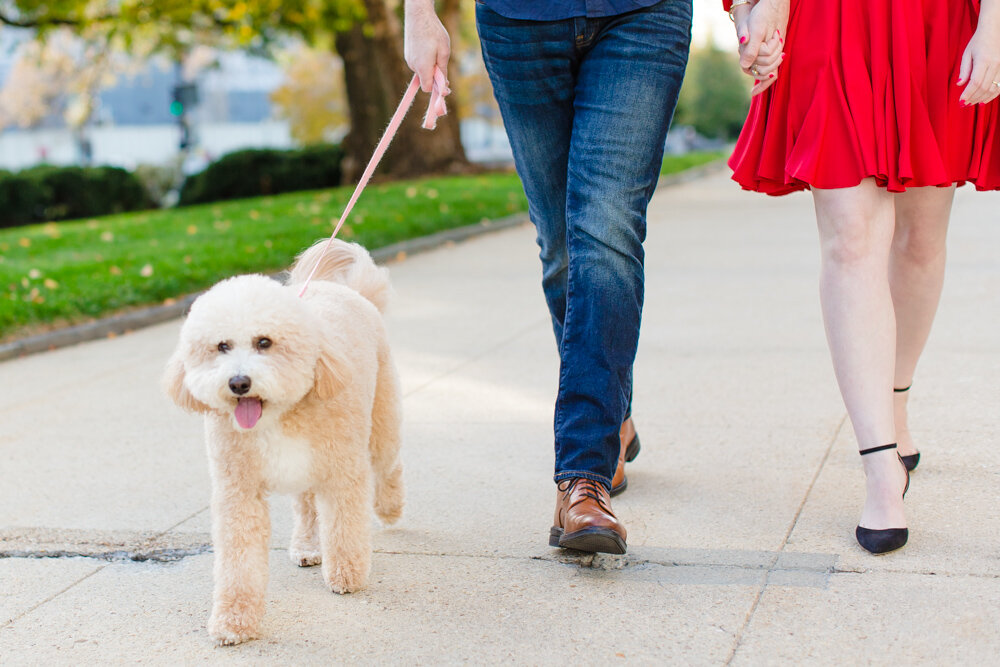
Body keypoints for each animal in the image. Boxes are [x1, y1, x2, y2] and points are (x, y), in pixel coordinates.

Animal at [162, 240, 404, 648]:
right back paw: (307, 546)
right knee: (307, 509)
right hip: (308, 470)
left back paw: (390, 508)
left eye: (265, 342)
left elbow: (345, 527)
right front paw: (233, 621)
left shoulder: (343, 473)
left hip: (380, 420)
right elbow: (239, 562)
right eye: (221, 346)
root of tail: (343, 289)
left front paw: (348, 575)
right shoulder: (239, 492)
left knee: (388, 464)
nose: (239, 382)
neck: (279, 414)